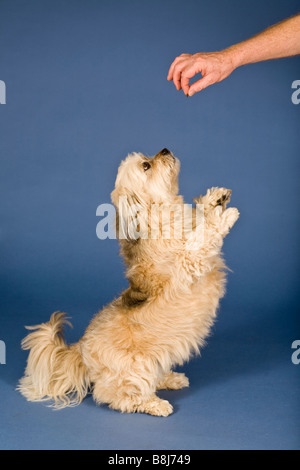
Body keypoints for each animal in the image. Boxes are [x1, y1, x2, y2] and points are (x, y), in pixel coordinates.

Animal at [18, 149, 239, 416]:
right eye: (146, 165)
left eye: (149, 157)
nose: (165, 150)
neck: (160, 218)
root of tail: (80, 350)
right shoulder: (189, 262)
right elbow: (204, 235)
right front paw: (225, 216)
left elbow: (201, 218)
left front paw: (216, 199)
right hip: (135, 369)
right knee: (121, 397)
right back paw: (155, 404)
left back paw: (171, 379)